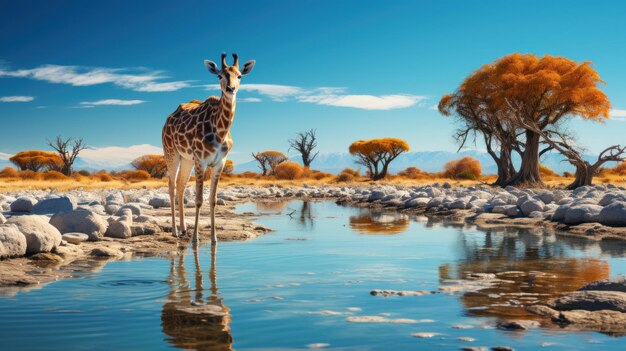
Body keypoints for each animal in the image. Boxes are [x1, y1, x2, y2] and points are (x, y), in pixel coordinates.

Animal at [163, 53, 256, 245]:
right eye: (219, 76)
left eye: (239, 76)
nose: (230, 89)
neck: (220, 131)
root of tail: (166, 120)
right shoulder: (201, 160)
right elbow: (199, 200)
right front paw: (195, 239)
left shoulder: (220, 163)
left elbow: (212, 200)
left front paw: (214, 238)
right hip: (171, 153)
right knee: (171, 186)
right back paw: (175, 231)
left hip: (186, 158)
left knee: (181, 184)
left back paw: (183, 228)